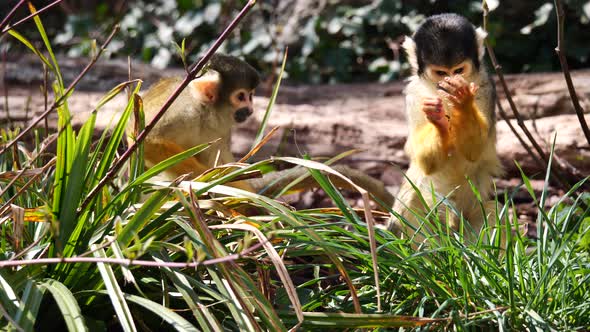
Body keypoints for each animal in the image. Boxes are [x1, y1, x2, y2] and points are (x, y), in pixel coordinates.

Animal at [130, 54, 398, 209]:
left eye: (251, 96)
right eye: (241, 96)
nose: (250, 108)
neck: (204, 111)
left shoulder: (221, 126)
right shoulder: (180, 109)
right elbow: (147, 139)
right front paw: (200, 178)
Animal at [388, 13, 504, 241]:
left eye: (458, 70)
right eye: (441, 73)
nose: (450, 82)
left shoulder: (486, 86)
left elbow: (474, 151)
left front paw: (463, 101)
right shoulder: (414, 94)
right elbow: (426, 162)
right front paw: (439, 121)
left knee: (492, 212)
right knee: (412, 199)